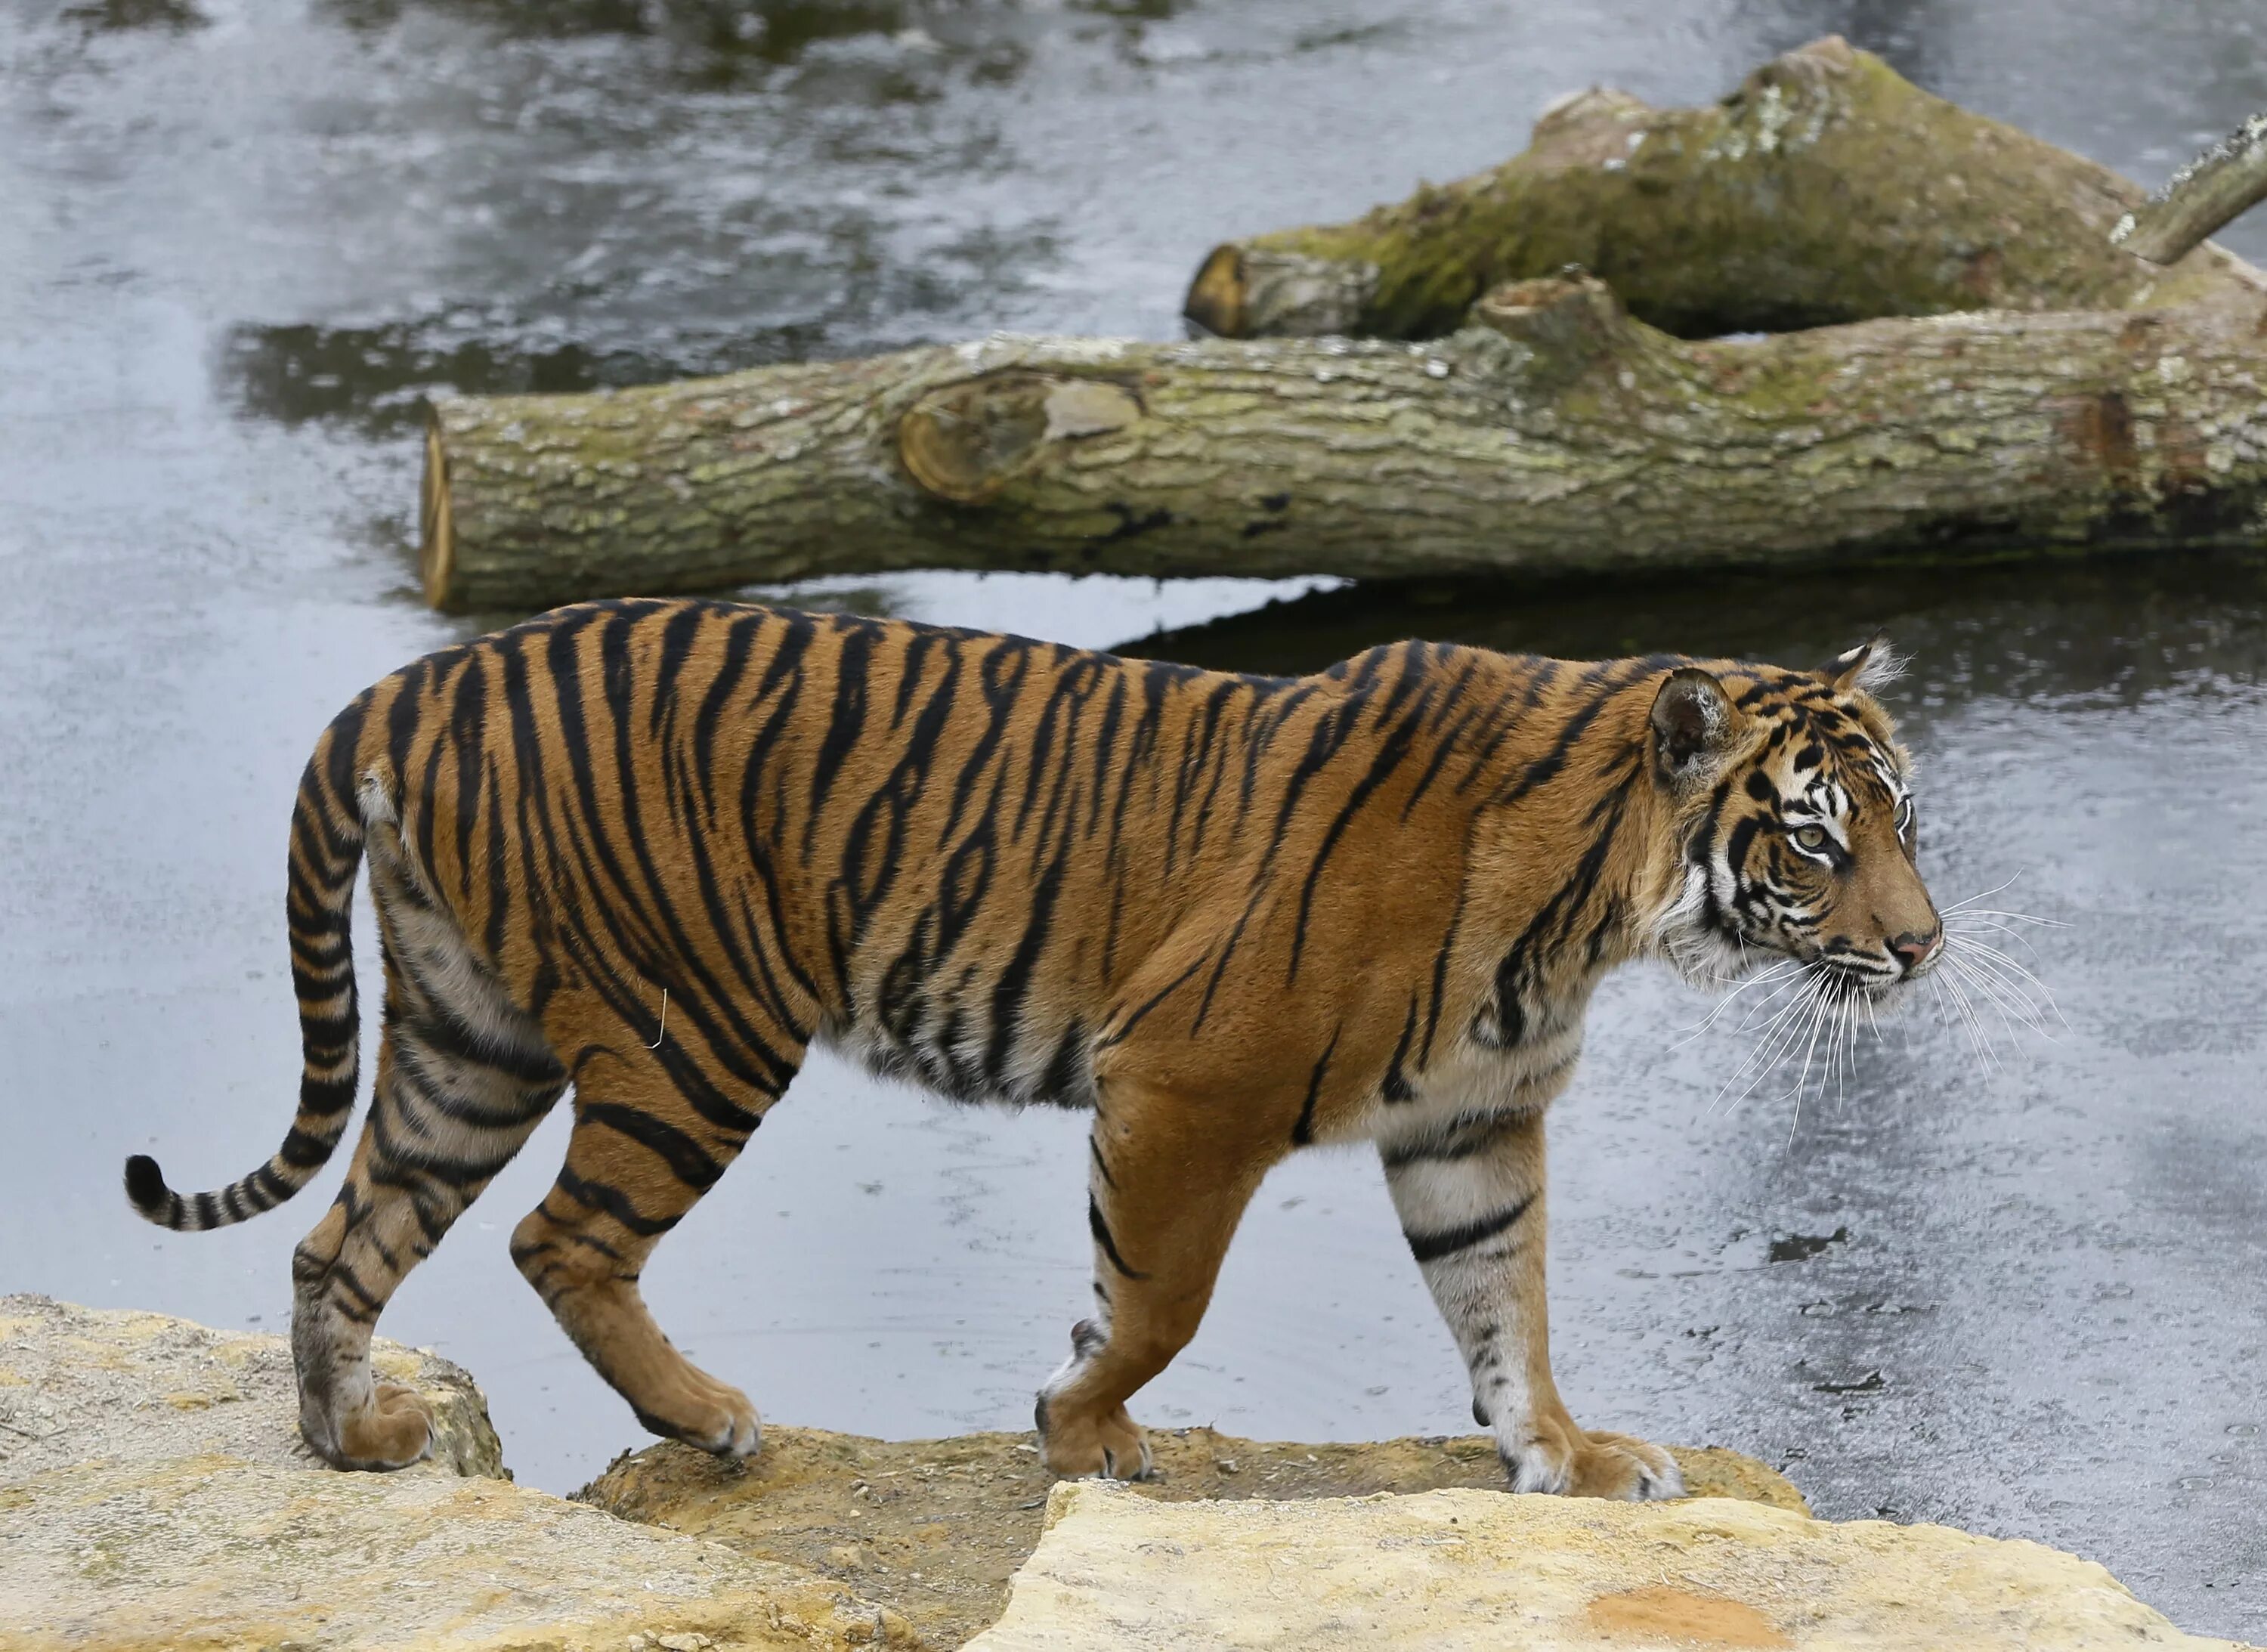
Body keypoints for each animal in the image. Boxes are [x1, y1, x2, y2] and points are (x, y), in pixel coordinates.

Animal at [124, 598, 1941, 1496]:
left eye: (1906, 821)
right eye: (1815, 839)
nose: (1923, 944)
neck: (1592, 909)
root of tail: (412, 682)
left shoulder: (1473, 1123)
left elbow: (1507, 1301)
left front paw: (1564, 1451)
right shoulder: (1186, 1083)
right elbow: (1158, 1301)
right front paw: (1081, 1425)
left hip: (469, 1038)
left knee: (343, 1240)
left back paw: (352, 1443)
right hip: (692, 1027)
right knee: (558, 1239)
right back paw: (712, 1423)